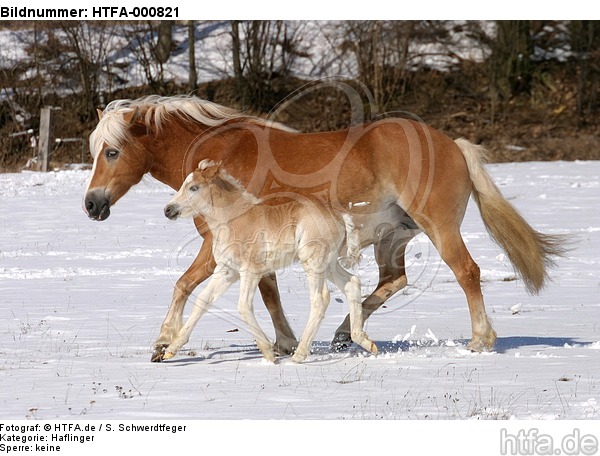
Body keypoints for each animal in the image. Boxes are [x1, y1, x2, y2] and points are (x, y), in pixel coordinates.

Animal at [159, 159, 376, 362]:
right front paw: (170, 349)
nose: (168, 210)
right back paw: (365, 341)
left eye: (194, 187)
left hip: (313, 262)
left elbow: (243, 306)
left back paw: (299, 355)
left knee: (320, 299)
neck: (233, 219)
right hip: (329, 265)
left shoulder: (251, 271)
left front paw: (269, 352)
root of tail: (339, 217)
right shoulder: (227, 271)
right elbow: (203, 301)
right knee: (352, 283)